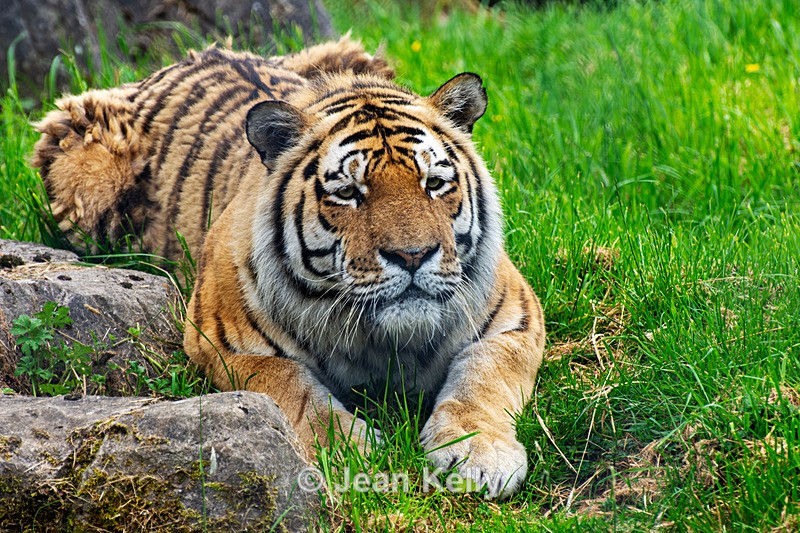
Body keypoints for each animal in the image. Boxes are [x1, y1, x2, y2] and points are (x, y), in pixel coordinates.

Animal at [32, 37, 545, 499]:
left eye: (434, 183)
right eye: (348, 193)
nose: (413, 255)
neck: (385, 341)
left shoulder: (515, 317)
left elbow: (483, 379)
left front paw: (479, 454)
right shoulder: (221, 341)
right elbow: (293, 387)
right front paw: (353, 454)